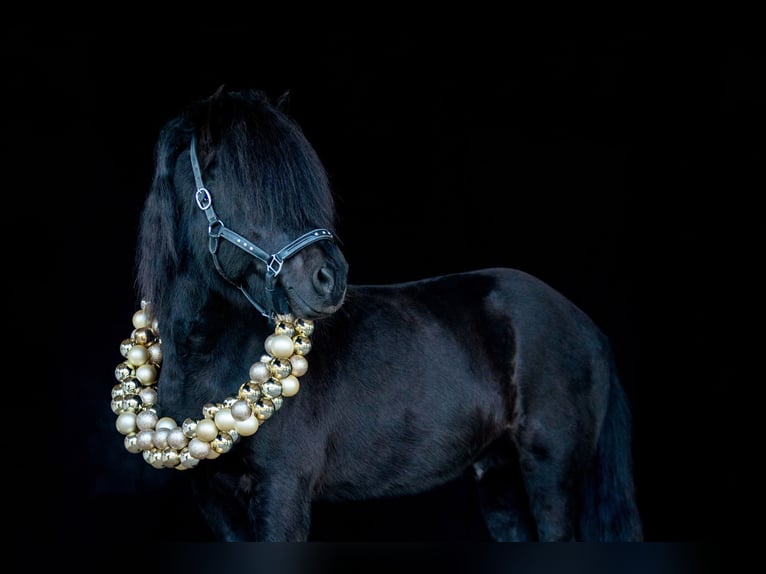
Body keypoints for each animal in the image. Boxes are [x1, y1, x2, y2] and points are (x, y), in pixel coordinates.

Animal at [111, 85, 644, 544]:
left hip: (550, 473)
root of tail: (586, 326)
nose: (330, 278)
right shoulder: (214, 502)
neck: (212, 359)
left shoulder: (282, 490)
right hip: (500, 478)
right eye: (232, 179)